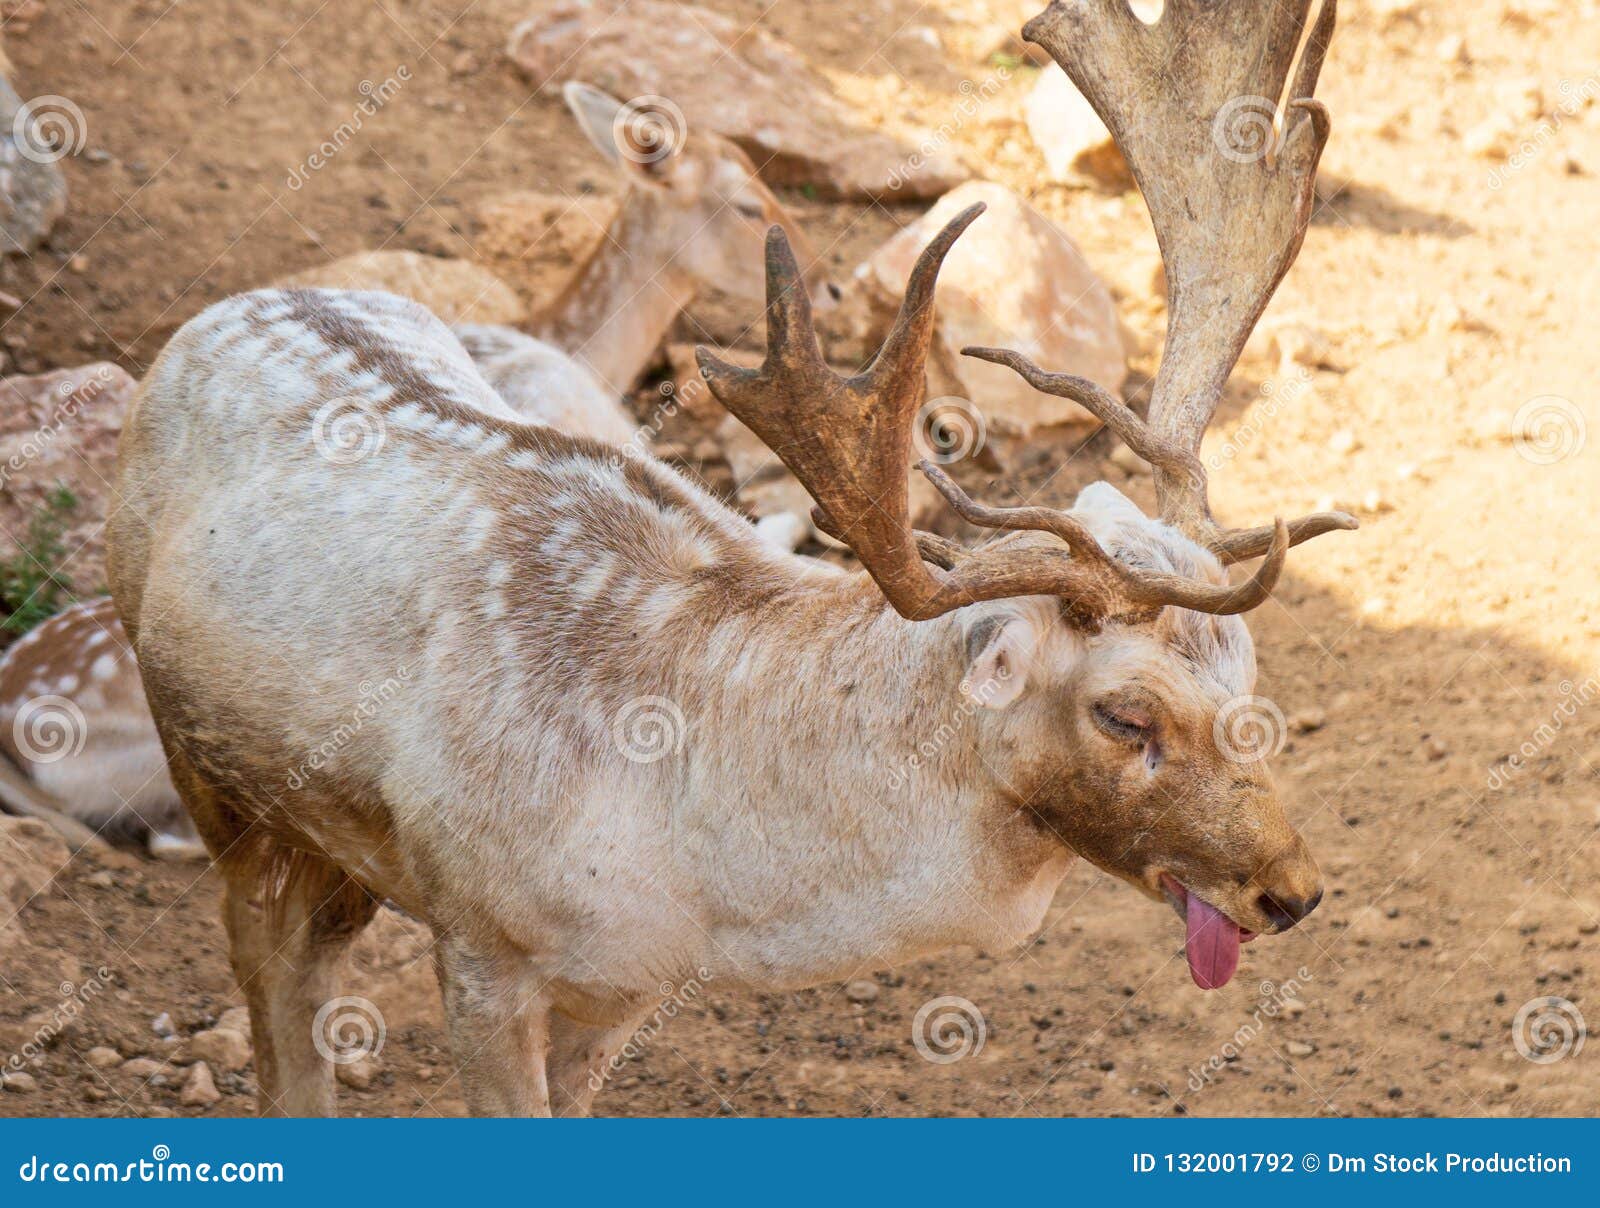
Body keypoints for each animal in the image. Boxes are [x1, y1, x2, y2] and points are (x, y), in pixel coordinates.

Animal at [106, 0, 1351, 1117]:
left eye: (1249, 679)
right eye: (1125, 714)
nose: (1291, 889)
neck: (704, 869)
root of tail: (231, 307)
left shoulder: (624, 986)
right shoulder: (480, 941)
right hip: (212, 773)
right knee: (276, 986)